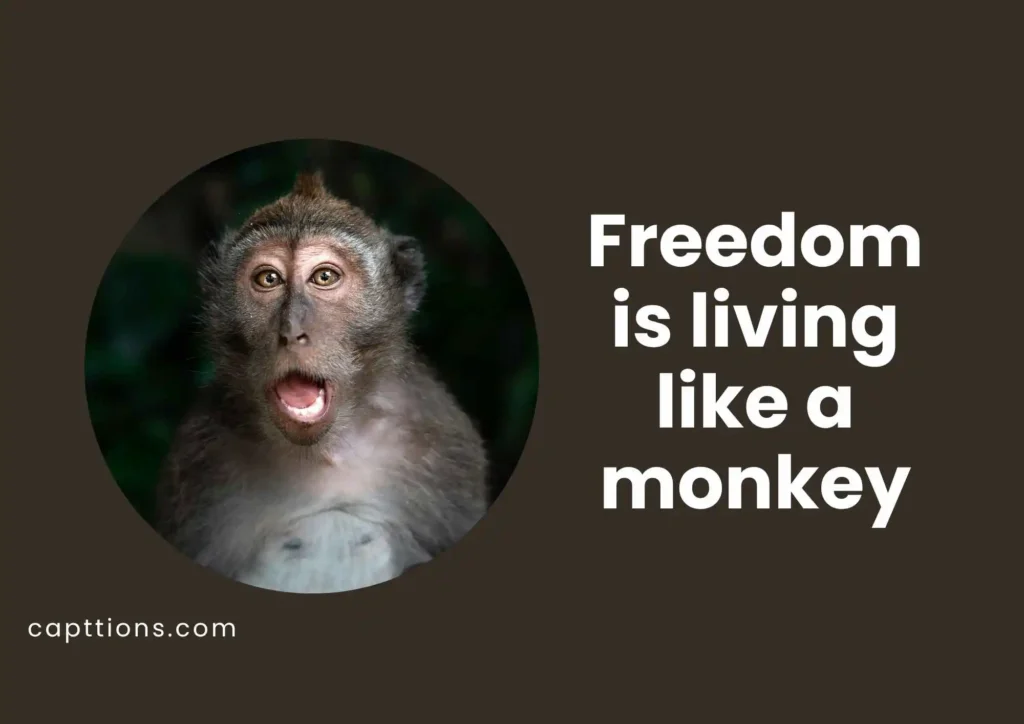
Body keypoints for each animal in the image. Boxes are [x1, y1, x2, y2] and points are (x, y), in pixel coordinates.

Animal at [153, 171, 489, 594]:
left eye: (324, 277)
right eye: (268, 278)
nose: (291, 331)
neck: (324, 451)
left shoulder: (444, 445)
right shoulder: (199, 459)